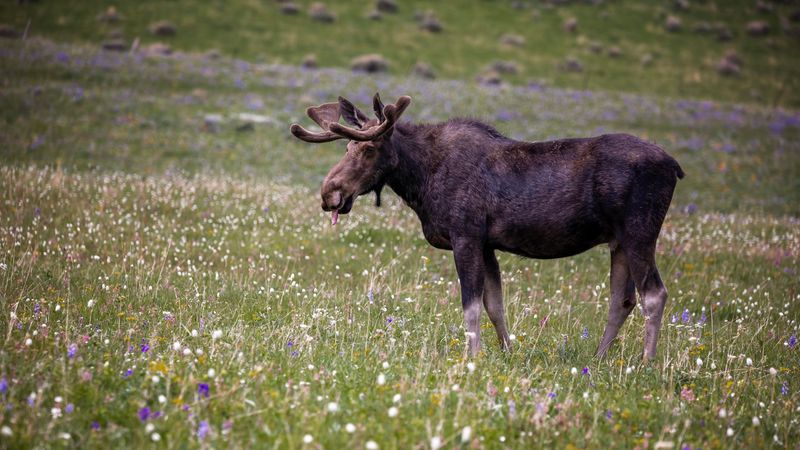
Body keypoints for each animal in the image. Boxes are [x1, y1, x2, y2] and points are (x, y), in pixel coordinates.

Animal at [290, 93, 684, 360]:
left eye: (370, 149)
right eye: (346, 149)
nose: (329, 193)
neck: (420, 181)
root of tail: (675, 166)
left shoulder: (466, 235)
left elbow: (472, 307)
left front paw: (472, 359)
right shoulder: (487, 243)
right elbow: (496, 305)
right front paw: (507, 355)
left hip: (639, 231)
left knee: (654, 294)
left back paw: (646, 363)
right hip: (618, 241)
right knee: (623, 299)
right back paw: (600, 359)